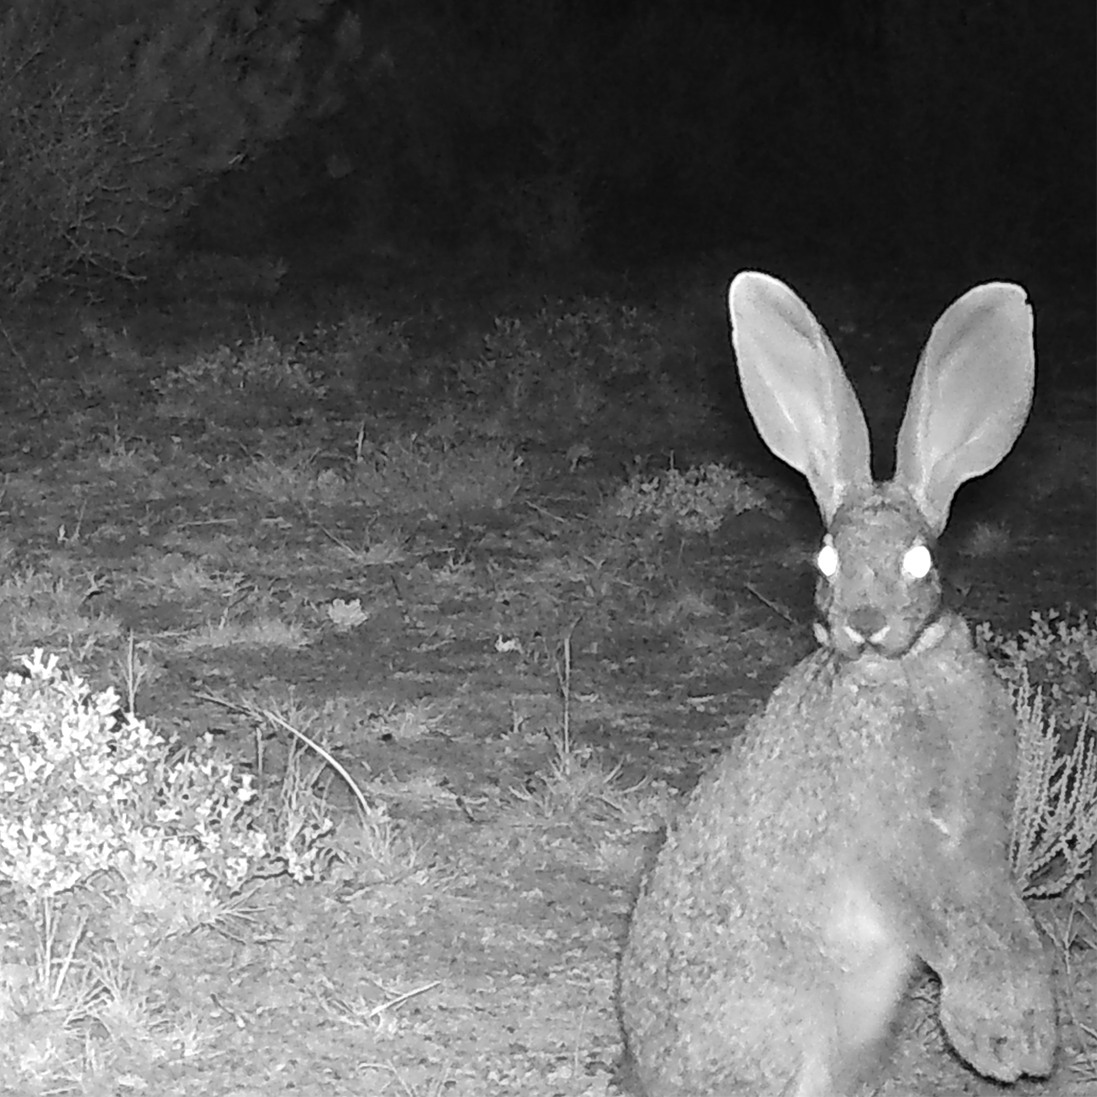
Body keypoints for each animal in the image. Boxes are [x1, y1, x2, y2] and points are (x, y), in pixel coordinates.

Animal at [618, 272, 1056, 1097]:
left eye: (920, 560)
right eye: (825, 560)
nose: (863, 622)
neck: (901, 668)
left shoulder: (975, 839)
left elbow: (997, 914)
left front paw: (1019, 1030)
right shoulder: (887, 847)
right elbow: (938, 916)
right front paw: (997, 1035)